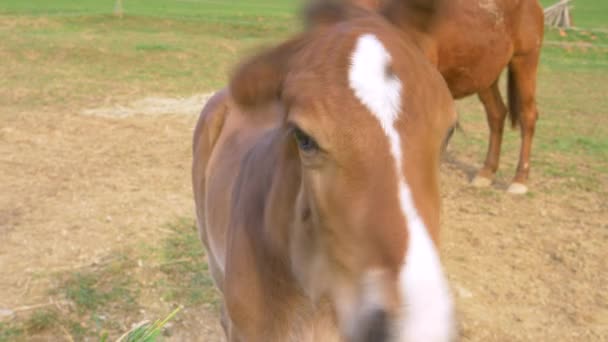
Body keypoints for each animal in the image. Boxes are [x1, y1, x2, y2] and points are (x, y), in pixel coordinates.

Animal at [354, 0, 544, 194]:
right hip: (485, 74)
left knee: (527, 115)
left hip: (525, 59)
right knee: (497, 114)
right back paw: (486, 173)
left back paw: (519, 180)